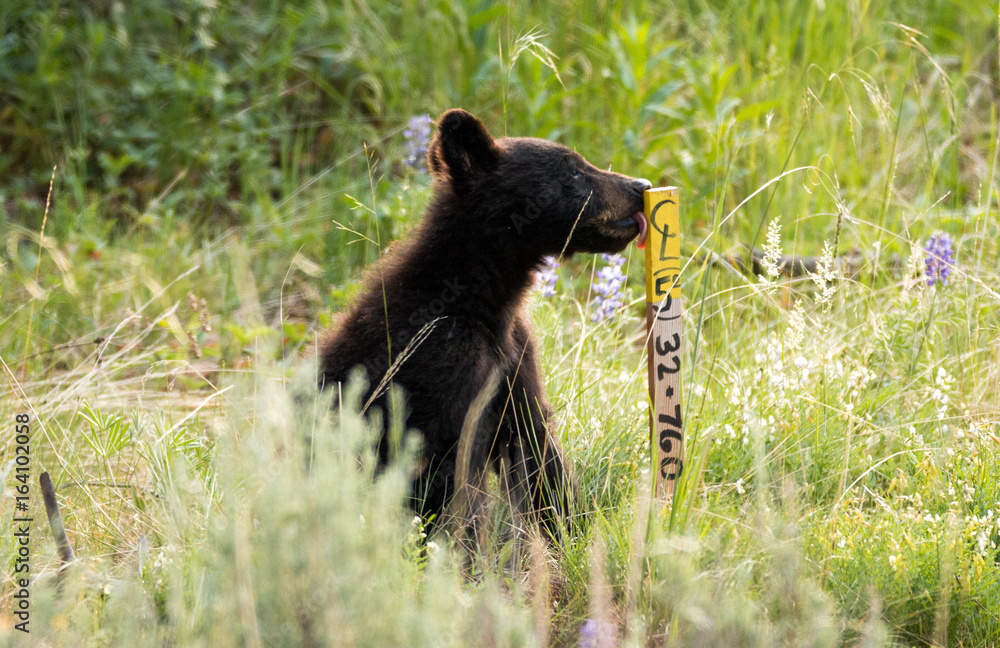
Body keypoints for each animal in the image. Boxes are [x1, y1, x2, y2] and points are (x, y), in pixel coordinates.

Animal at [319, 109, 650, 535]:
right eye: (574, 172)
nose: (640, 185)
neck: (485, 301)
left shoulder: (514, 357)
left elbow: (538, 449)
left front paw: (572, 528)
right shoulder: (443, 359)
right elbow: (447, 473)